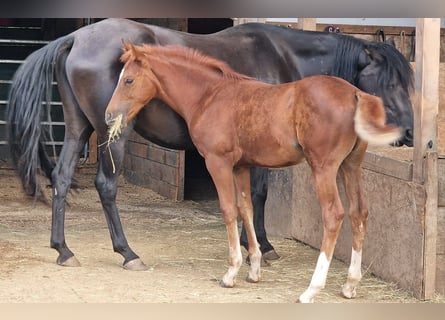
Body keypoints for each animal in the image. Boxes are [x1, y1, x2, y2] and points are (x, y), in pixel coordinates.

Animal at [6, 18, 412, 270]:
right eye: (391, 82)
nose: (408, 133)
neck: (283, 57)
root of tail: (76, 38)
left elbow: (247, 198)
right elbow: (258, 196)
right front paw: (261, 247)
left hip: (79, 129)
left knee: (61, 179)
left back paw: (63, 250)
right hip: (113, 132)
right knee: (106, 186)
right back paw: (127, 253)